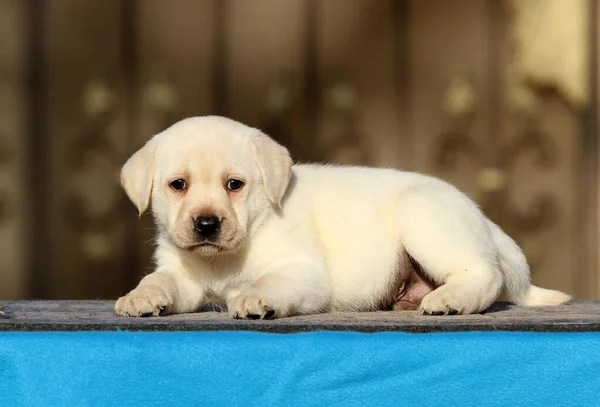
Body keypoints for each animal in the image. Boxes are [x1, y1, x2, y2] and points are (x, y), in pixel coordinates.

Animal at [113, 116, 572, 320]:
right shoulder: (184, 276)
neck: (221, 261)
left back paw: (450, 300)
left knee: (485, 275)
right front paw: (140, 296)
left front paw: (255, 298)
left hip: (424, 216)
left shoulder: (304, 270)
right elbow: (161, 281)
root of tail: (483, 220)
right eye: (178, 185)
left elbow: (269, 281)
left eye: (234, 185)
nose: (207, 224)